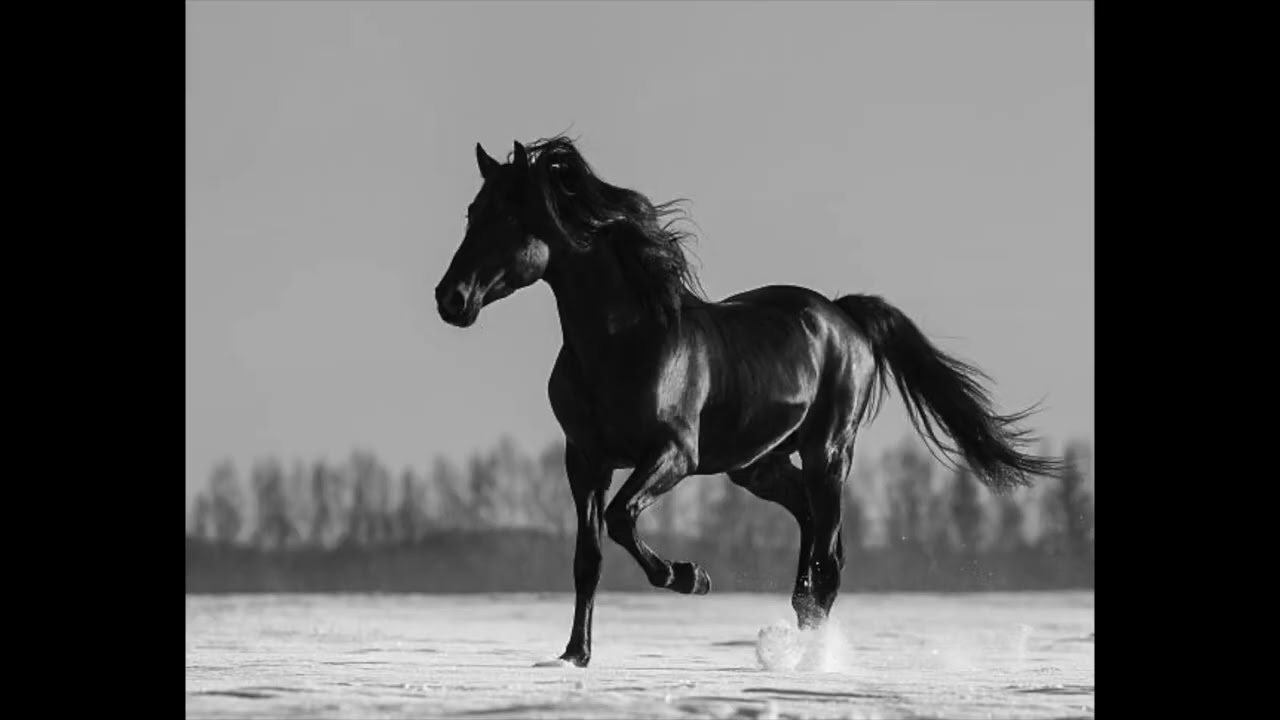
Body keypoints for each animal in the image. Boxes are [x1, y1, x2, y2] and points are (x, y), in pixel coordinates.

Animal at [435, 136, 1063, 668]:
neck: (619, 344)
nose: (450, 299)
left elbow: (620, 519)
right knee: (810, 532)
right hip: (759, 466)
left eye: (509, 216)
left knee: (829, 558)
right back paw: (798, 632)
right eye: (472, 212)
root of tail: (843, 316)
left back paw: (811, 656)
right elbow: (587, 557)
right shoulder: (584, 460)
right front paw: (574, 656)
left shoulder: (672, 455)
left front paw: (690, 576)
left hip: (828, 452)